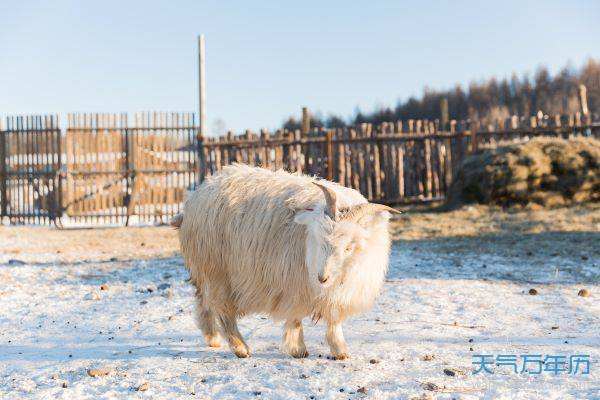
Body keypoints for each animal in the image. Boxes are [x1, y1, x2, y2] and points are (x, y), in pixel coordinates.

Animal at [173, 162, 398, 360]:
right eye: (319, 239)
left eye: (348, 247)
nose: (322, 278)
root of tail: (196, 196)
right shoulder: (293, 282)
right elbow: (296, 316)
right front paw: (298, 348)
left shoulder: (336, 292)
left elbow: (334, 318)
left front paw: (339, 350)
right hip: (218, 272)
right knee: (224, 311)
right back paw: (240, 348)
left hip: (206, 272)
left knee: (203, 301)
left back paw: (212, 337)